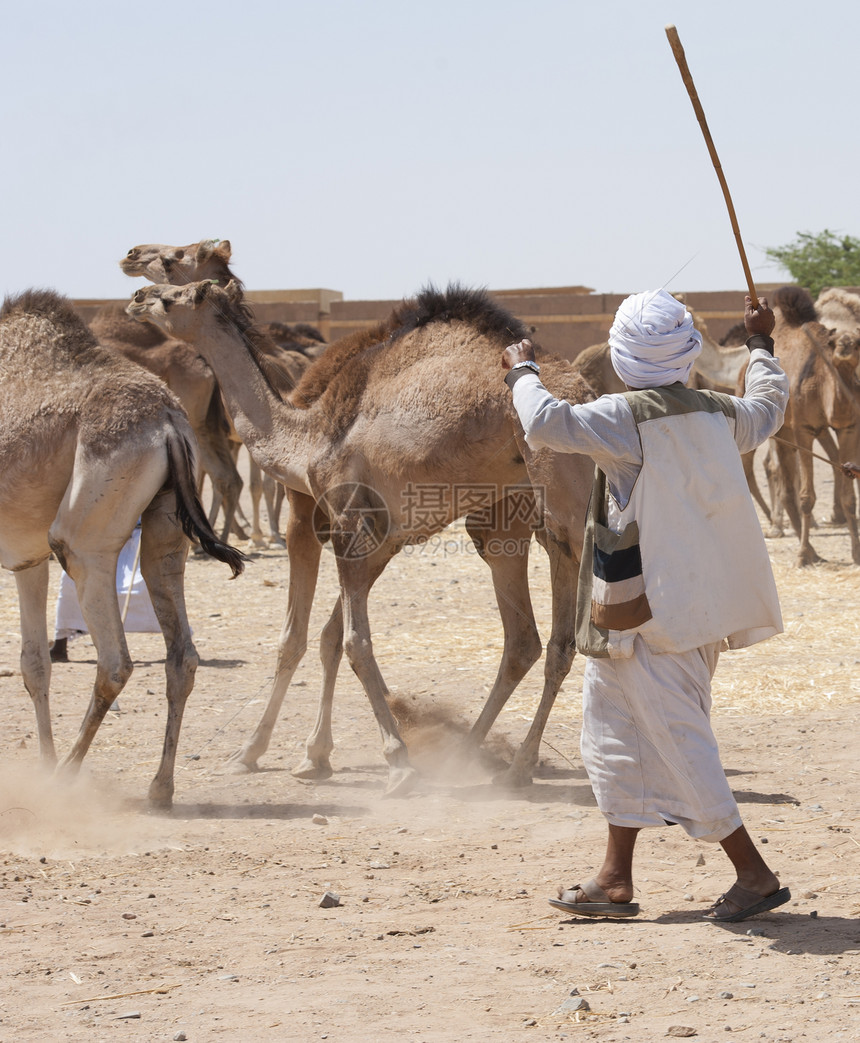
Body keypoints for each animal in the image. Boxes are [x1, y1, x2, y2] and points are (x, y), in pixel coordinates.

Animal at [0, 292, 244, 805]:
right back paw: (159, 788)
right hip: (165, 531)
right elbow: (34, 664)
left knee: (115, 662)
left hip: (82, 541)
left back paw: (66, 777)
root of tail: (168, 423)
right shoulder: (25, 559)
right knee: (182, 655)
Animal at [127, 277, 596, 788]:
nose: (137, 297)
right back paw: (492, 758)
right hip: (519, 519)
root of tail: (586, 394)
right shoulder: (383, 536)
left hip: (567, 503)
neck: (308, 438)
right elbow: (331, 635)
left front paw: (396, 760)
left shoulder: (348, 519)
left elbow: (350, 641)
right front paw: (306, 754)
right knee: (536, 640)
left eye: (174, 294)